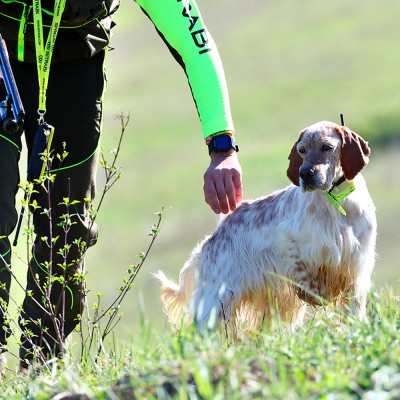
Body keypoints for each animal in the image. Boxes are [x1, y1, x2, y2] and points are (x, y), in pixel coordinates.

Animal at [155, 121, 378, 334]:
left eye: (327, 147)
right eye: (302, 150)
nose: (305, 173)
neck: (338, 201)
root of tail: (212, 238)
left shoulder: (357, 263)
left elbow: (353, 305)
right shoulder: (288, 242)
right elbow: (310, 281)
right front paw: (318, 295)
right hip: (217, 304)